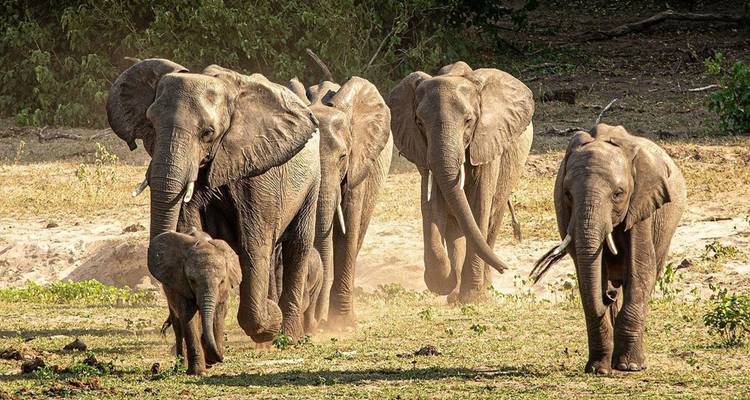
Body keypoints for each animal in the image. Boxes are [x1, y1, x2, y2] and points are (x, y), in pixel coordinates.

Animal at [106, 59, 321, 343]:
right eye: (150, 124)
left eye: (208, 133)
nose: (166, 326)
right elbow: (187, 225)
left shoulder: (261, 169)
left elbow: (254, 244)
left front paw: (269, 318)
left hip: (312, 181)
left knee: (297, 245)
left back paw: (289, 336)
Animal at [148, 229, 240, 375]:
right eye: (192, 280)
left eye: (221, 281)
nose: (222, 359)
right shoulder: (181, 283)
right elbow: (188, 315)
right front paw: (199, 372)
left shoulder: (223, 291)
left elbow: (219, 314)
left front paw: (209, 361)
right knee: (178, 327)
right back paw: (179, 366)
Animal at [286, 76, 392, 329]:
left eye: (343, 157)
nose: (318, 321)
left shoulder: (359, 159)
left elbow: (349, 225)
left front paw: (342, 324)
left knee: (358, 233)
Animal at [389, 61, 534, 303]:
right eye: (419, 122)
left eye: (469, 121)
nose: (506, 268)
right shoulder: (422, 151)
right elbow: (433, 206)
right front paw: (445, 282)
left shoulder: (487, 142)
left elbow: (479, 207)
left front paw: (472, 297)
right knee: (456, 227)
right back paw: (455, 293)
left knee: (491, 221)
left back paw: (484, 287)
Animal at [531, 124, 686, 374]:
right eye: (567, 194)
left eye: (618, 194)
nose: (608, 297)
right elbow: (588, 277)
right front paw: (598, 369)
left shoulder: (642, 206)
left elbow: (641, 270)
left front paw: (629, 366)